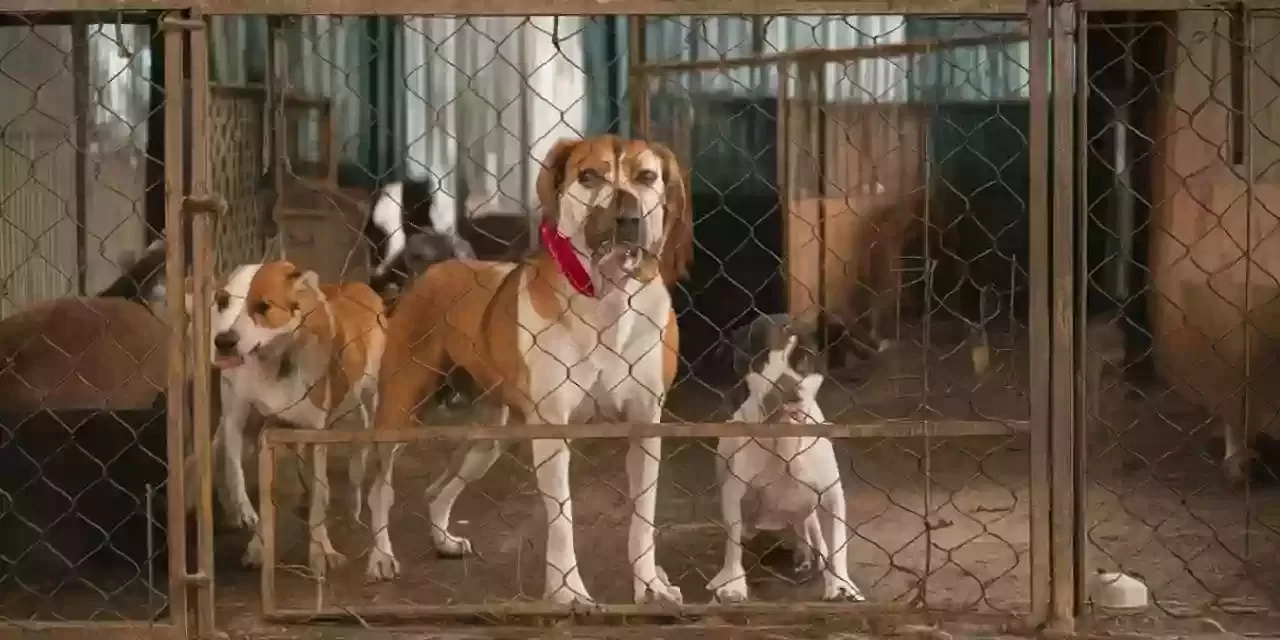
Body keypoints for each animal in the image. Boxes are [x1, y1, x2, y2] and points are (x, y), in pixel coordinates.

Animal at [194, 259, 384, 576]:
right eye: (222, 301)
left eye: (263, 306)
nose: (224, 342)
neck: (271, 366)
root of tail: (358, 287)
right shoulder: (240, 422)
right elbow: (237, 472)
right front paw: (249, 522)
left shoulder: (316, 433)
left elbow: (320, 497)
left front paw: (321, 551)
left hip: (363, 410)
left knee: (356, 464)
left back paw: (354, 510)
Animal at [366, 135, 696, 604]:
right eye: (589, 176)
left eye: (647, 177)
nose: (627, 218)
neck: (608, 301)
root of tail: (433, 269)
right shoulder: (552, 431)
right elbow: (562, 520)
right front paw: (568, 592)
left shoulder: (646, 425)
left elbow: (643, 520)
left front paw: (650, 584)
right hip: (398, 411)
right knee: (380, 486)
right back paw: (380, 556)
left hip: (489, 439)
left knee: (437, 488)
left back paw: (443, 540)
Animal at [711, 322, 860, 601]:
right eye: (761, 357)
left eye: (804, 358)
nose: (785, 385)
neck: (784, 438)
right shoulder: (733, 492)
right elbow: (732, 543)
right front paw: (733, 582)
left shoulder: (831, 494)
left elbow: (838, 543)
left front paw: (841, 584)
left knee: (812, 534)